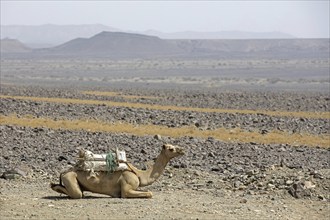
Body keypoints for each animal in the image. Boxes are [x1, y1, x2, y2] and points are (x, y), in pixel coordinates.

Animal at [52, 144, 186, 199]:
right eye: (171, 149)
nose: (182, 150)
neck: (139, 174)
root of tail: (65, 171)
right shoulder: (127, 187)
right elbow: (148, 193)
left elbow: (148, 191)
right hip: (70, 177)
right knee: (77, 194)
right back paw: (54, 186)